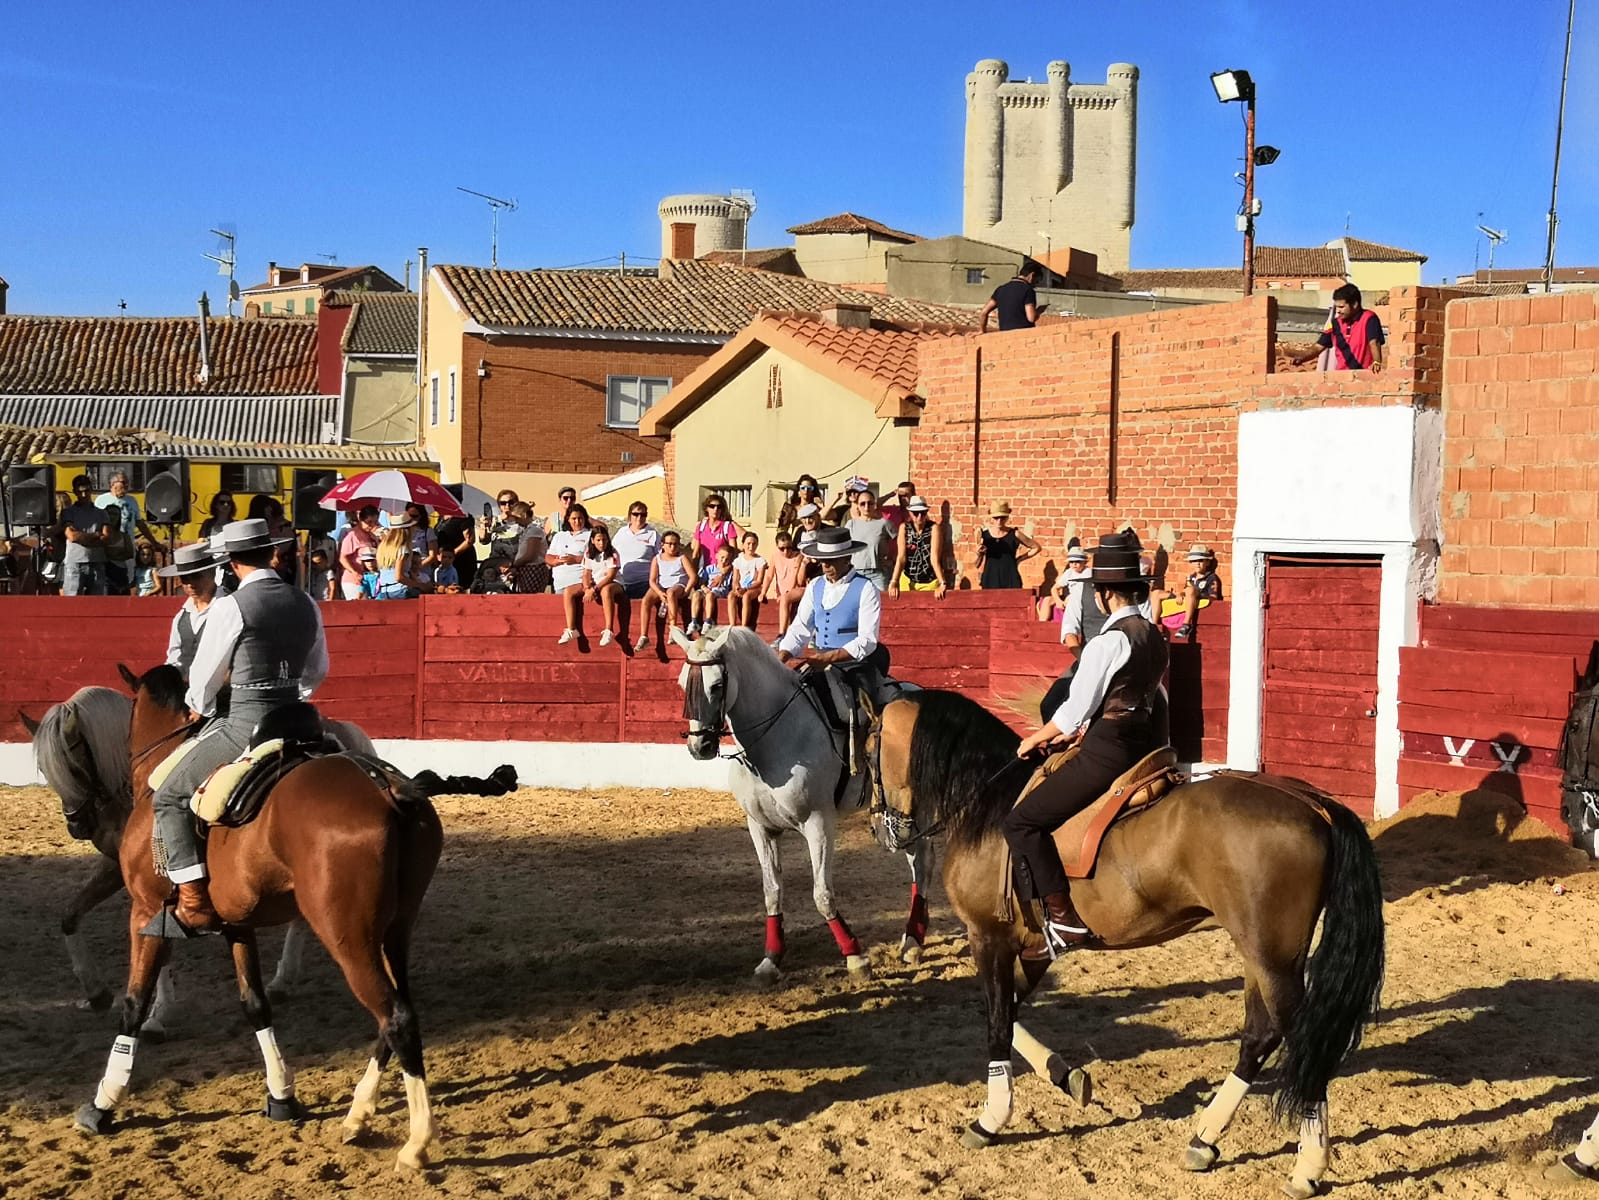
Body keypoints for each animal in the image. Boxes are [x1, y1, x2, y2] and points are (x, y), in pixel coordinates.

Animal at [25, 684, 377, 1036]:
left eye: (73, 764)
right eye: (45, 769)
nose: (76, 825)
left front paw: (158, 1014)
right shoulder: (118, 867)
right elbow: (71, 915)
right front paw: (96, 992)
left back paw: (283, 979)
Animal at [75, 662, 444, 1171]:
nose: (82, 816)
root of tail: (387, 789)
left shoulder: (145, 913)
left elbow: (133, 1004)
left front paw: (104, 1102)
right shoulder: (237, 925)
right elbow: (255, 1004)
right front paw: (281, 1094)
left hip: (349, 938)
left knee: (395, 1017)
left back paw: (416, 1142)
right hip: (394, 931)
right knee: (397, 1012)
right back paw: (358, 1114)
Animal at [674, 624, 933, 979]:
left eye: (716, 685)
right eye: (682, 683)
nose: (699, 747)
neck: (774, 738)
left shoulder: (818, 824)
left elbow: (822, 893)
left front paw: (856, 957)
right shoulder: (760, 828)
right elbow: (772, 891)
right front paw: (771, 959)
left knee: (922, 863)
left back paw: (912, 943)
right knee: (917, 861)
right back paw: (914, 937)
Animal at [869, 694, 1381, 1200]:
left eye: (868, 743)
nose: (881, 829)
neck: (989, 808)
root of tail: (1313, 803)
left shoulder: (988, 937)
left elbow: (997, 1022)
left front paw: (990, 1119)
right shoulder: (1034, 949)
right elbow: (1008, 1014)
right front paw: (1067, 1076)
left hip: (1272, 958)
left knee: (1302, 1040)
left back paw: (1307, 1167)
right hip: (1261, 953)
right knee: (1261, 1035)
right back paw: (1205, 1139)